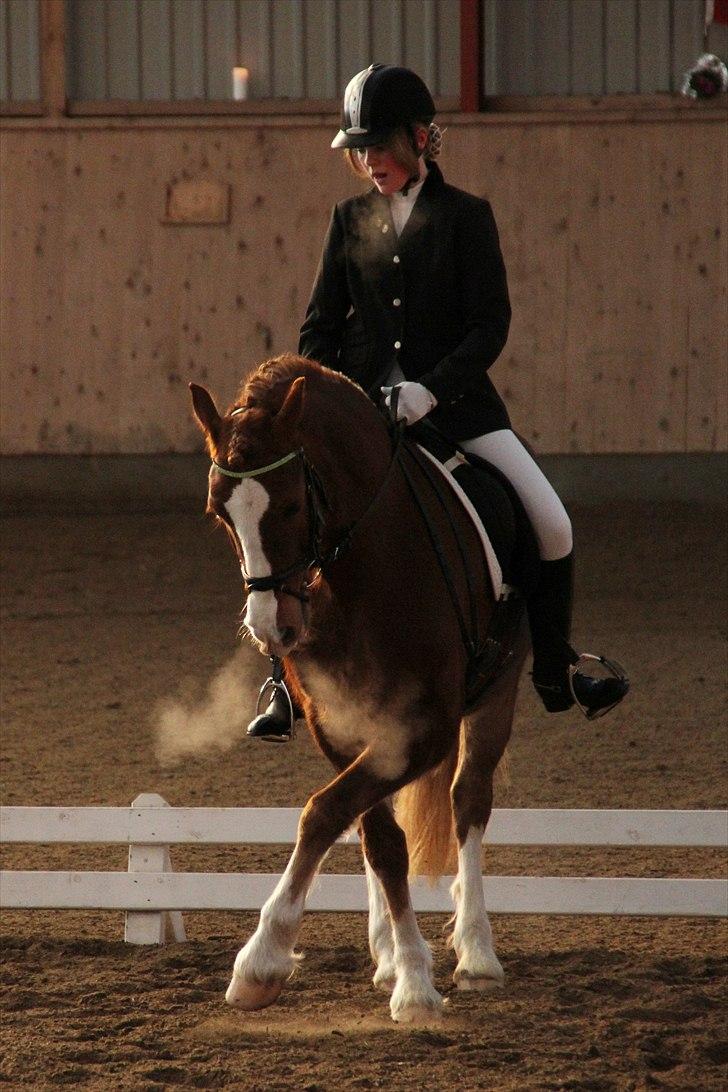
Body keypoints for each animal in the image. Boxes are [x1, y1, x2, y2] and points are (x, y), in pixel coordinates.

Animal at [191, 351, 526, 1022]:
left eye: (292, 506)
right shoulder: (340, 726)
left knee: (469, 802)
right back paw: (389, 956)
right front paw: (409, 973)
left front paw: (261, 961)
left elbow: (324, 812)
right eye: (220, 513)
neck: (363, 572)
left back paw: (477, 953)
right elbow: (378, 838)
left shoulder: (424, 730)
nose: (272, 629)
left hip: (494, 696)